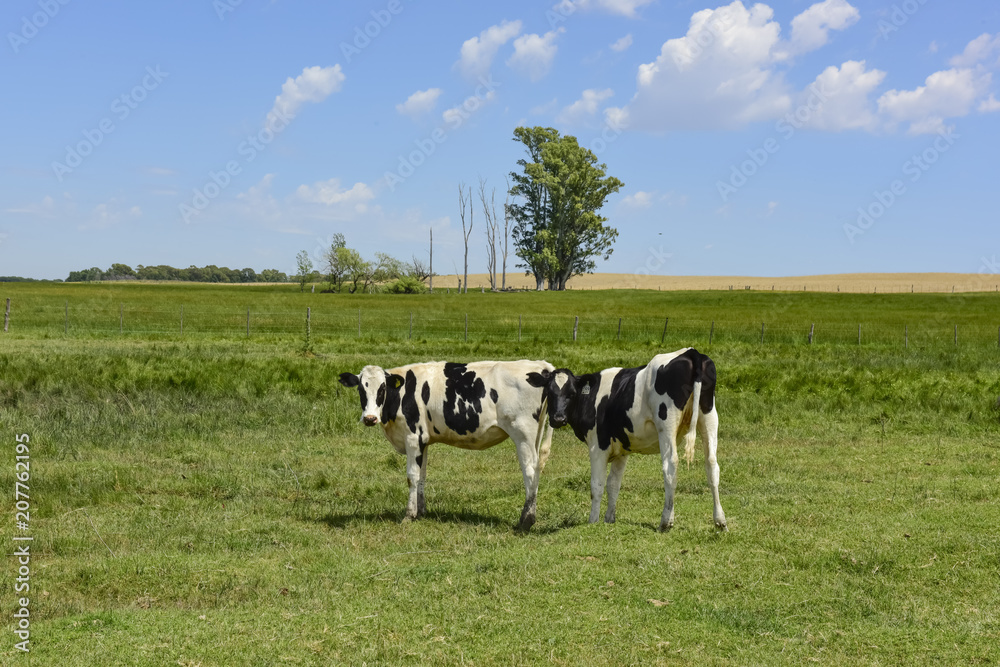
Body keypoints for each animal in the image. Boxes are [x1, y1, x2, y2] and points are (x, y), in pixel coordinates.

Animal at [336, 360, 556, 532]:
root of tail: (540, 365)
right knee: (537, 469)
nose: (369, 418)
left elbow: (412, 477)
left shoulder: (412, 437)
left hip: (523, 434)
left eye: (382, 388)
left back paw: (526, 520)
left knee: (529, 472)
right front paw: (421, 512)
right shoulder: (423, 440)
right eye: (361, 389)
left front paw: (409, 515)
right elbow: (422, 475)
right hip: (534, 436)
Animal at [524, 350, 728, 532]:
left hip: (667, 423)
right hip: (709, 416)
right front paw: (609, 519)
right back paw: (720, 521)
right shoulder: (622, 450)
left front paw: (593, 521)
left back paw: (666, 521)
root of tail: (691, 352)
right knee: (712, 465)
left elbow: (597, 485)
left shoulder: (598, 446)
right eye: (549, 392)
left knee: (670, 466)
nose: (558, 418)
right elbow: (614, 484)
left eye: (572, 393)